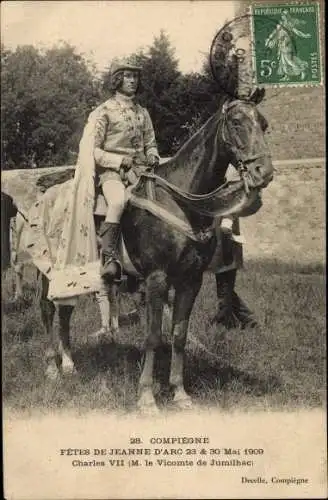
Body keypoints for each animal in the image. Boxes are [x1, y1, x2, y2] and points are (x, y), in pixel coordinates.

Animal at [25, 90, 272, 410]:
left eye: (264, 124)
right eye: (237, 122)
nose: (264, 172)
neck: (180, 200)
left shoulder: (190, 280)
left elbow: (178, 335)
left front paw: (180, 392)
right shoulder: (157, 279)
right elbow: (153, 336)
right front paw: (146, 396)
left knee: (65, 311)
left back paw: (68, 365)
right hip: (50, 272)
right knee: (47, 311)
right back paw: (52, 369)